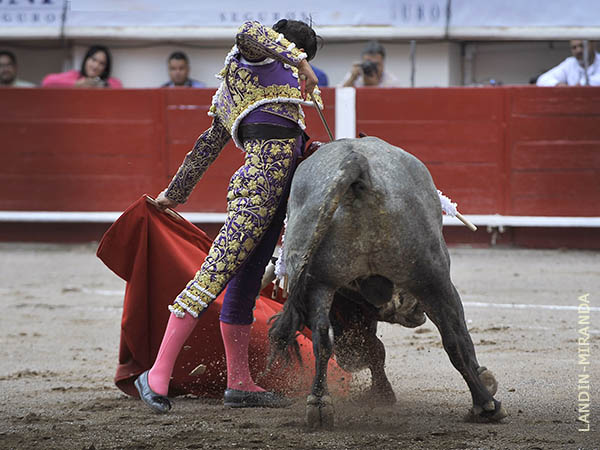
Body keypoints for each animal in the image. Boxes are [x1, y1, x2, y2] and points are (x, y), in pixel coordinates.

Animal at [270, 136, 508, 428]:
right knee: (453, 339)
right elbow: (461, 335)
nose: (350, 358)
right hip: (431, 275)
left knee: (321, 337)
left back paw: (319, 404)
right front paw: (484, 379)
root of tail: (356, 165)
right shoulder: (440, 285)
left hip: (320, 282)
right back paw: (484, 404)